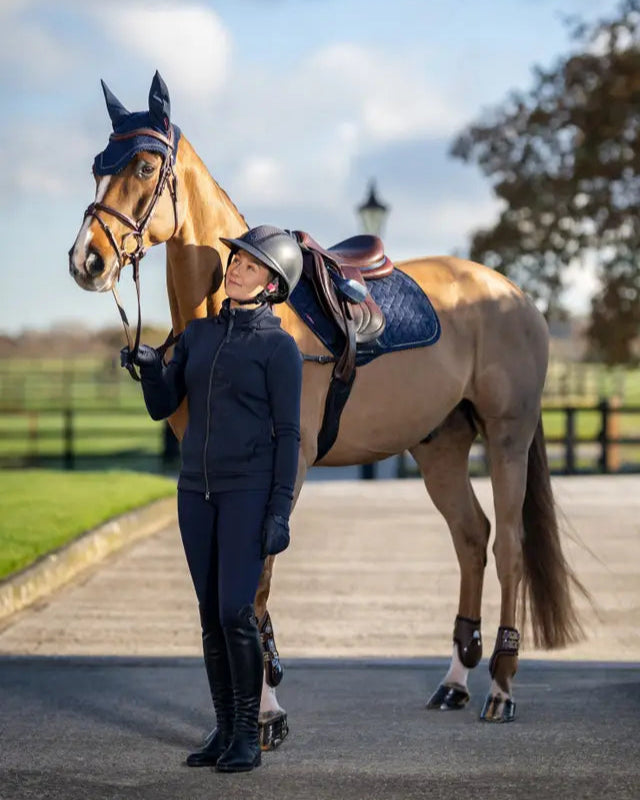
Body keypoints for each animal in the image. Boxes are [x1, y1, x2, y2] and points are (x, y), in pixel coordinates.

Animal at [69, 73, 585, 742]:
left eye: (145, 164)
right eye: (97, 166)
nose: (87, 260)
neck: (238, 319)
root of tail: (514, 295)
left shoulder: (282, 469)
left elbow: (256, 582)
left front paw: (265, 716)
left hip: (506, 437)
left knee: (510, 549)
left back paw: (500, 687)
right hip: (440, 445)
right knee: (471, 537)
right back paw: (453, 682)